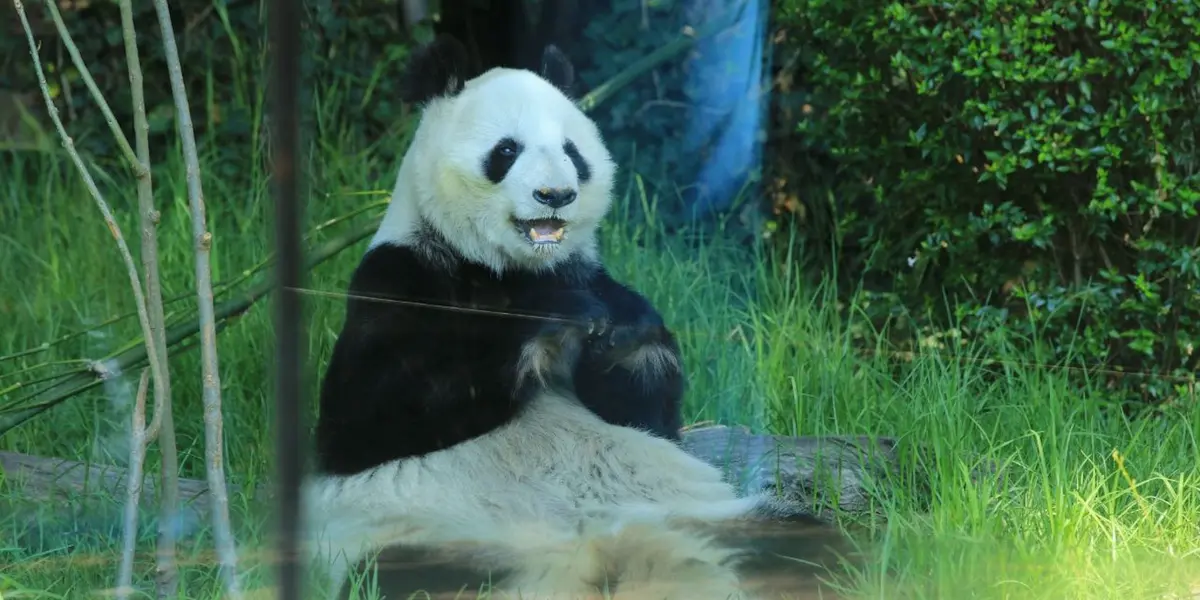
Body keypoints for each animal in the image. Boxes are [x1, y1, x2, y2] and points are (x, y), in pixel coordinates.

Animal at [303, 35, 849, 600]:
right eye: (506, 151)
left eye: (572, 152)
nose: (556, 195)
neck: (511, 269)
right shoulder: (400, 277)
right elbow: (375, 416)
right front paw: (554, 317)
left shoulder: (587, 273)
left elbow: (647, 415)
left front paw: (624, 335)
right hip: (429, 539)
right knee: (405, 575)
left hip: (706, 517)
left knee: (802, 543)